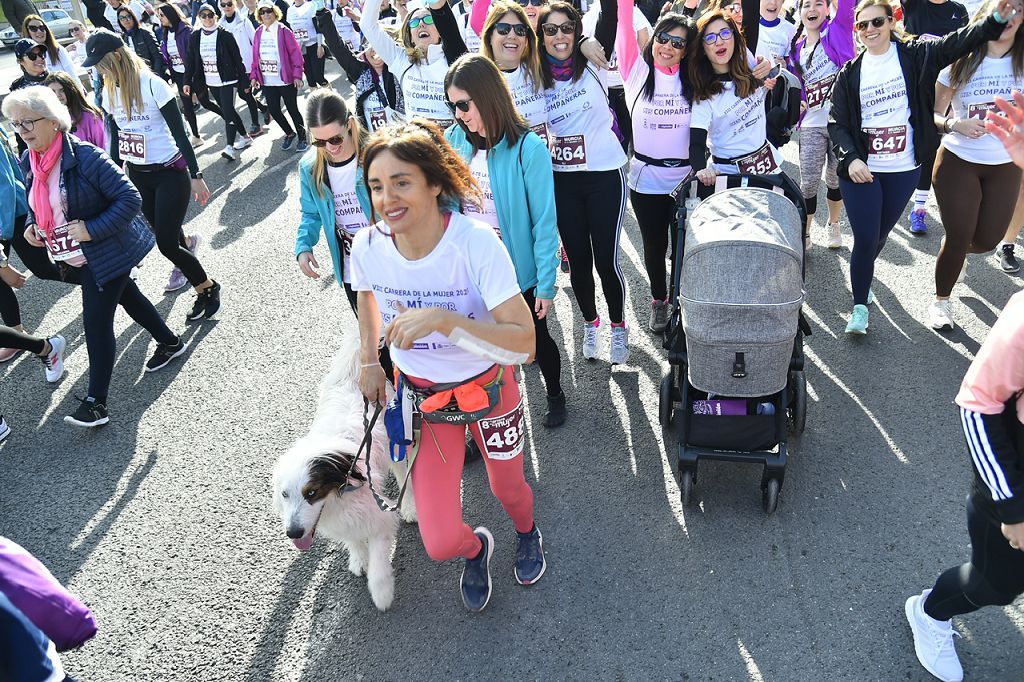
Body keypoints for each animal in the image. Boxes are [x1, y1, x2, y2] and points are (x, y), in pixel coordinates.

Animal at [274, 342, 417, 606]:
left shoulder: (377, 514)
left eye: (311, 492)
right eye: (284, 495)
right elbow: (352, 538)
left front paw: (382, 594)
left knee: (404, 473)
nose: (293, 533)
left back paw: (411, 506)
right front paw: (359, 558)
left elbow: (378, 561)